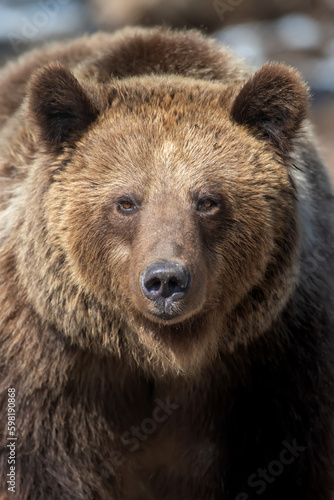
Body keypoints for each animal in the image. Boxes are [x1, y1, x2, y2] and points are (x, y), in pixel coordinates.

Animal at [0, 27, 334, 500]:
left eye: (208, 200)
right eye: (126, 201)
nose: (165, 280)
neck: (160, 351)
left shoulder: (274, 368)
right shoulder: (50, 366)